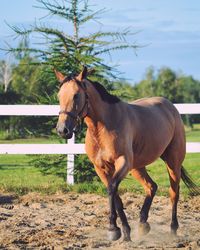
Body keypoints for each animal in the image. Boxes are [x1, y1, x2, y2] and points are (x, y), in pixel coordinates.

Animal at [55, 67, 199, 241]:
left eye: (76, 95)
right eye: (59, 95)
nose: (62, 130)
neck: (103, 127)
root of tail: (169, 106)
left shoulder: (122, 162)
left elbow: (112, 189)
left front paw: (112, 229)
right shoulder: (101, 168)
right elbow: (115, 195)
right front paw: (124, 232)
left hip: (172, 162)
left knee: (173, 193)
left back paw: (173, 230)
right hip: (137, 166)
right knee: (151, 187)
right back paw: (143, 225)